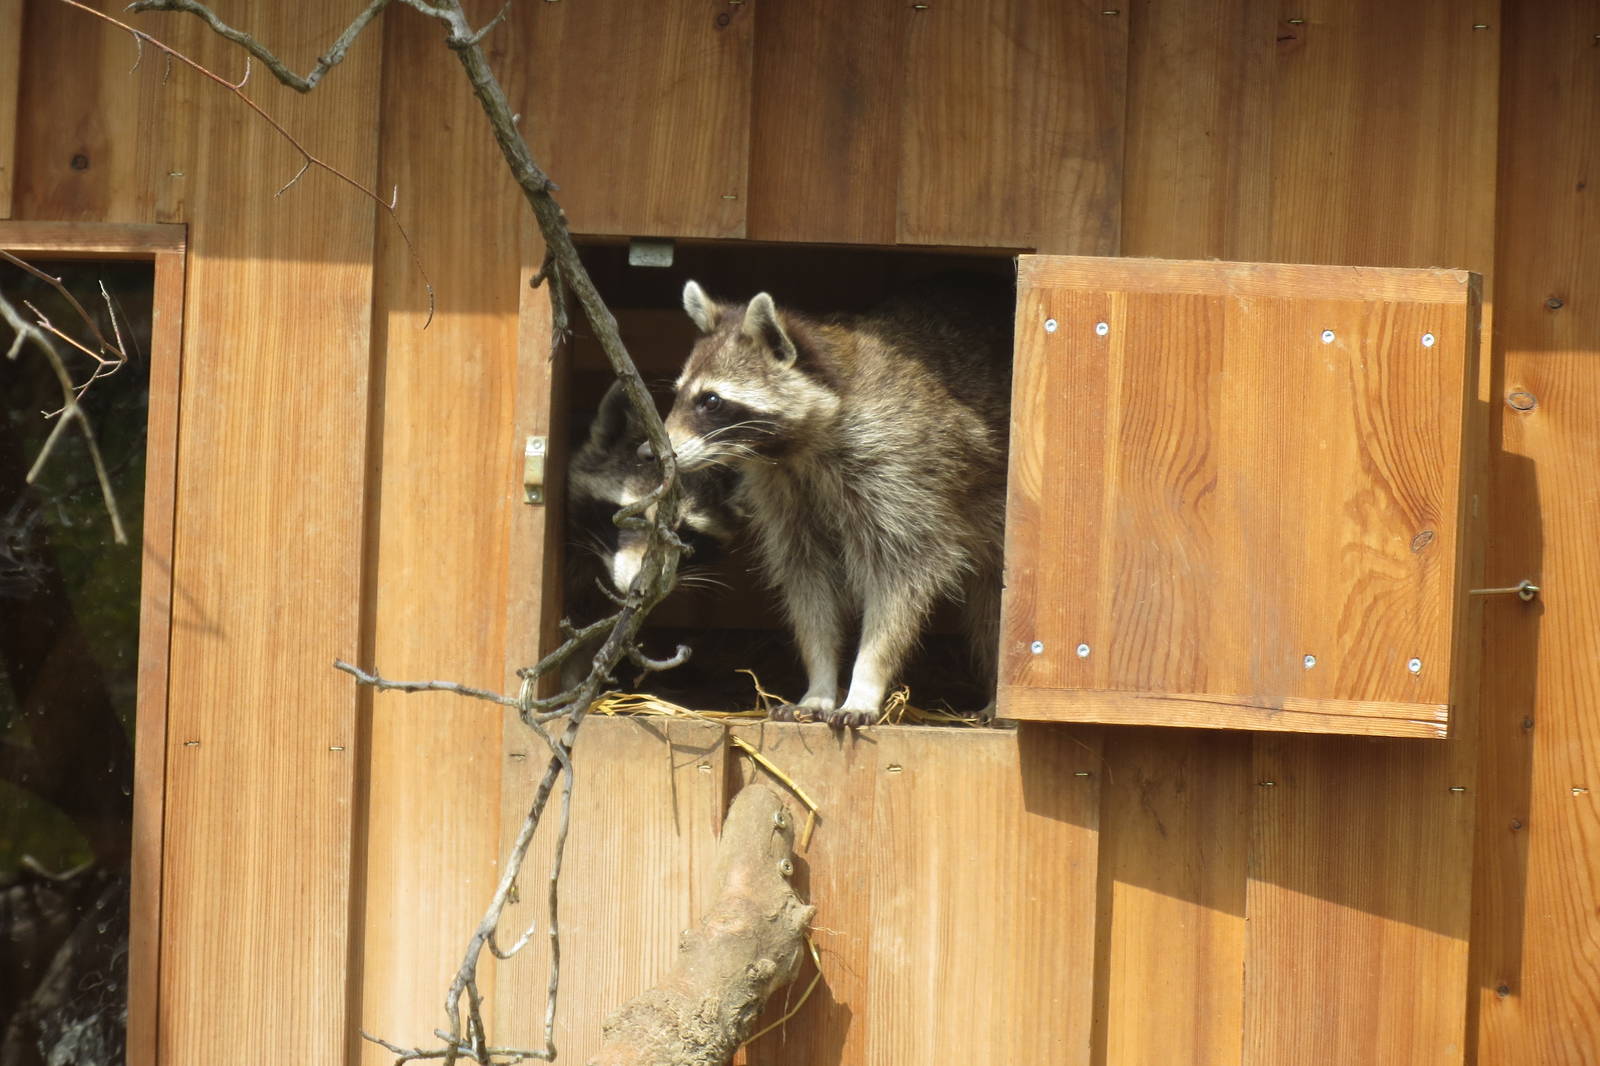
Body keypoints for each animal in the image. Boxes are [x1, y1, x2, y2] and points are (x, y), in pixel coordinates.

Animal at [661, 277, 1012, 728]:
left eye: (710, 401)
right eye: (679, 395)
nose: (656, 454)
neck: (795, 448)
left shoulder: (902, 472)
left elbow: (903, 579)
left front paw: (866, 682)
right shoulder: (786, 495)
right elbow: (807, 581)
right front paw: (820, 683)